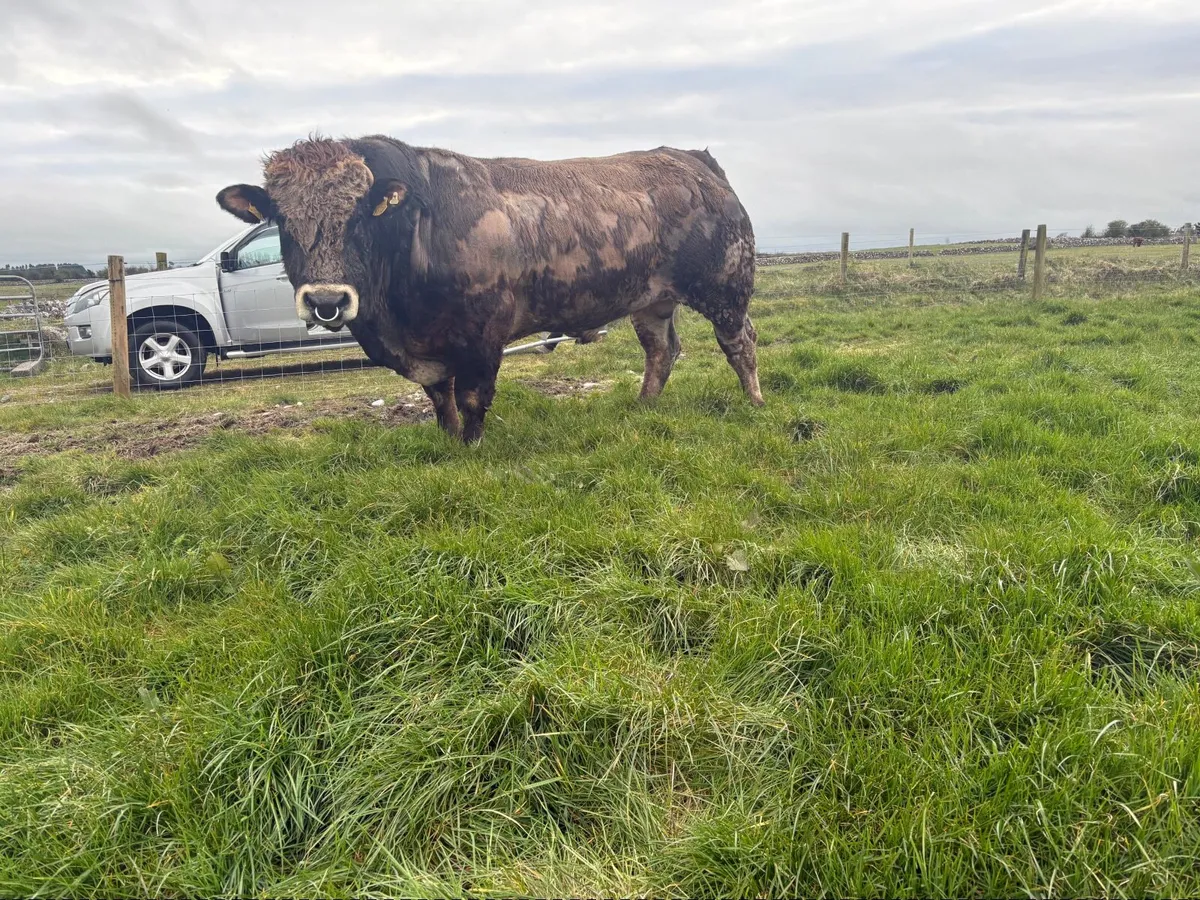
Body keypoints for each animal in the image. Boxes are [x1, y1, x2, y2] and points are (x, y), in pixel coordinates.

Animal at [216, 136, 762, 443]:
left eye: (360, 219)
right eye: (281, 220)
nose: (326, 300)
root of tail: (693, 161)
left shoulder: (482, 334)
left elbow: (473, 397)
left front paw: (472, 448)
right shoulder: (428, 348)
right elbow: (441, 398)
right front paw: (448, 440)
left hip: (726, 287)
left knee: (740, 344)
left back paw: (755, 403)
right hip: (652, 300)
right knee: (660, 351)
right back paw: (643, 406)